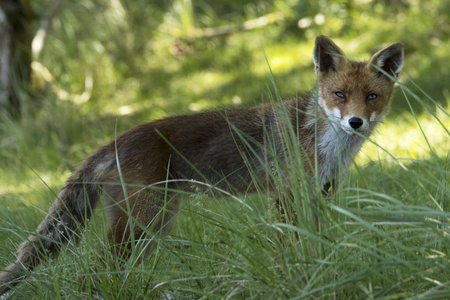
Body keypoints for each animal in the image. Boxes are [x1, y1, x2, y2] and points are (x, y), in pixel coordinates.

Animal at [0, 35, 404, 292]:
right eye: (339, 94)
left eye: (372, 96)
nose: (356, 122)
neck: (321, 138)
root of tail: (117, 140)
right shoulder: (286, 195)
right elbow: (291, 247)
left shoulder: (321, 193)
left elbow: (318, 245)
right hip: (137, 224)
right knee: (94, 270)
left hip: (155, 226)